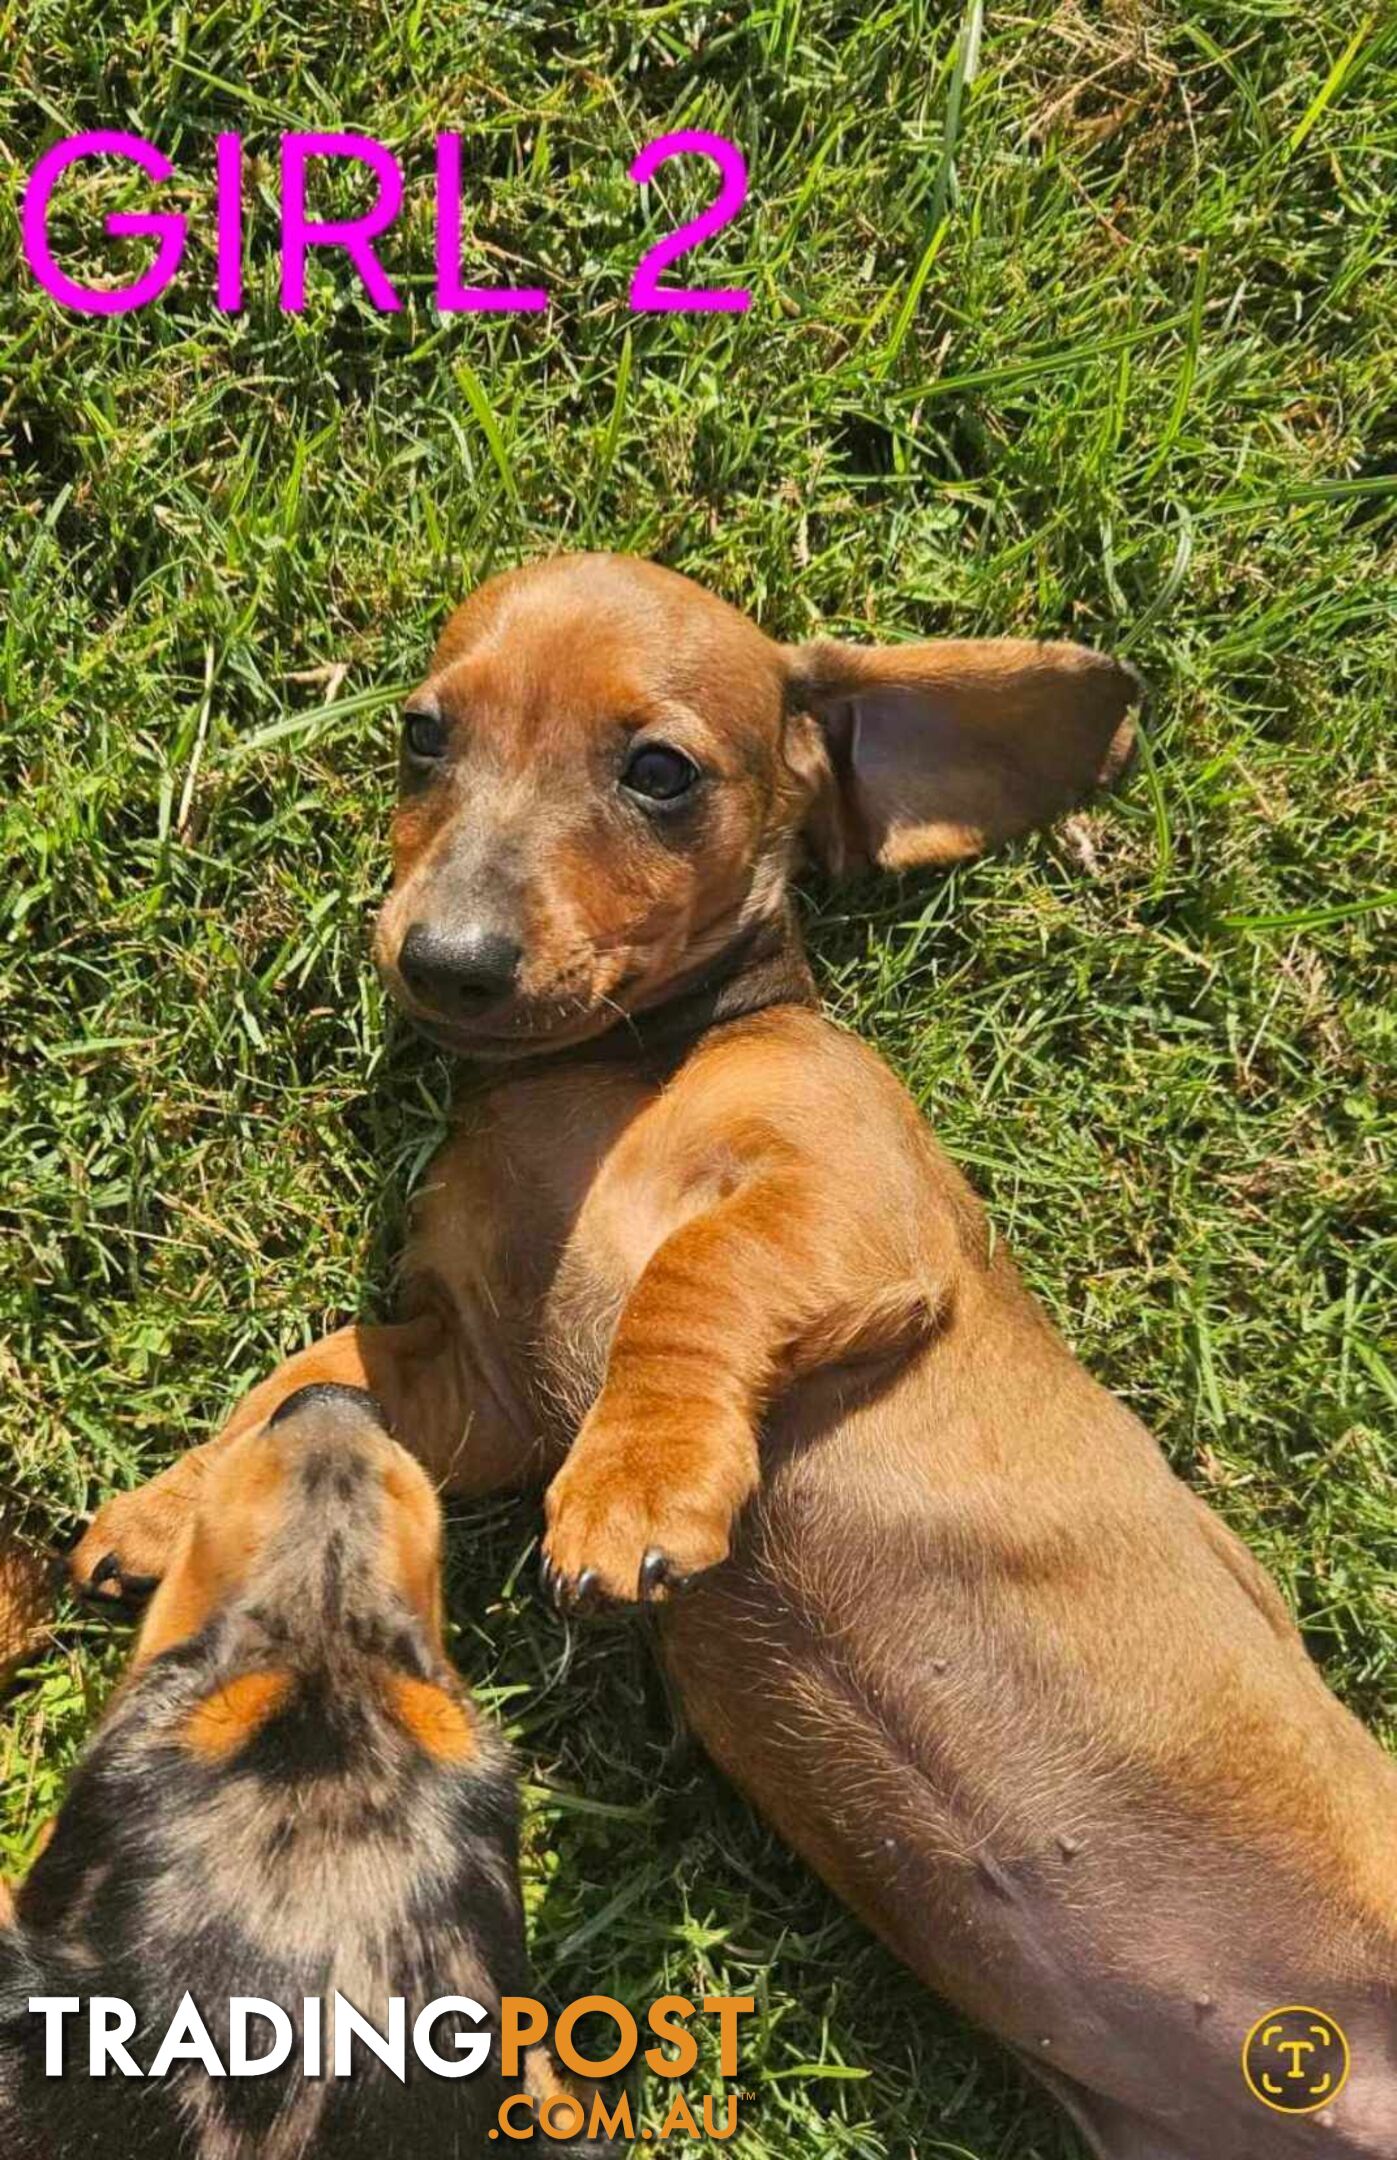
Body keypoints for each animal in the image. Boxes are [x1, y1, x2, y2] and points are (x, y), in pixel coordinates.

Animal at [73, 561, 1397, 2160]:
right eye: (420, 738)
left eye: (659, 772)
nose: (442, 963)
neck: (613, 1071)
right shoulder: (471, 1380)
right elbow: (303, 1380)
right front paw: (184, 1507)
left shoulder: (841, 1201)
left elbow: (689, 1281)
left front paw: (635, 1486)